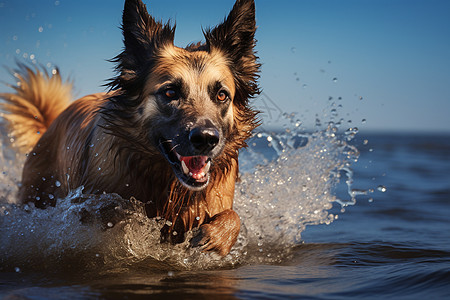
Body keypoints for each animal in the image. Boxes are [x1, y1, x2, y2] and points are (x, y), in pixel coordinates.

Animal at [0, 0, 260, 255]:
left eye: (221, 95)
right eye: (170, 92)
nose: (206, 139)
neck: (167, 183)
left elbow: (233, 216)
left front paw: (215, 237)